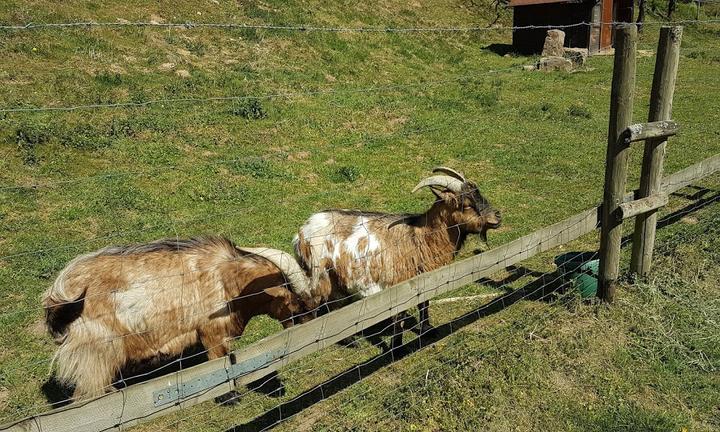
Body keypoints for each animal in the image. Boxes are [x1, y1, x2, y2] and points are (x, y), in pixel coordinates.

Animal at [41, 236, 312, 398]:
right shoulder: (212, 334)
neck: (225, 280)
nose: (309, 325)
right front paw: (230, 396)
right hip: (97, 353)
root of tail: (58, 294)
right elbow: (221, 367)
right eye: (297, 302)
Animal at [292, 167, 500, 350]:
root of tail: (301, 232)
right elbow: (398, 317)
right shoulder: (397, 284)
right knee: (326, 304)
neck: (420, 237)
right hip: (322, 275)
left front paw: (427, 329)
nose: (497, 216)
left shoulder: (422, 280)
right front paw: (397, 346)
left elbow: (424, 304)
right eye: (467, 204)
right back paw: (348, 341)